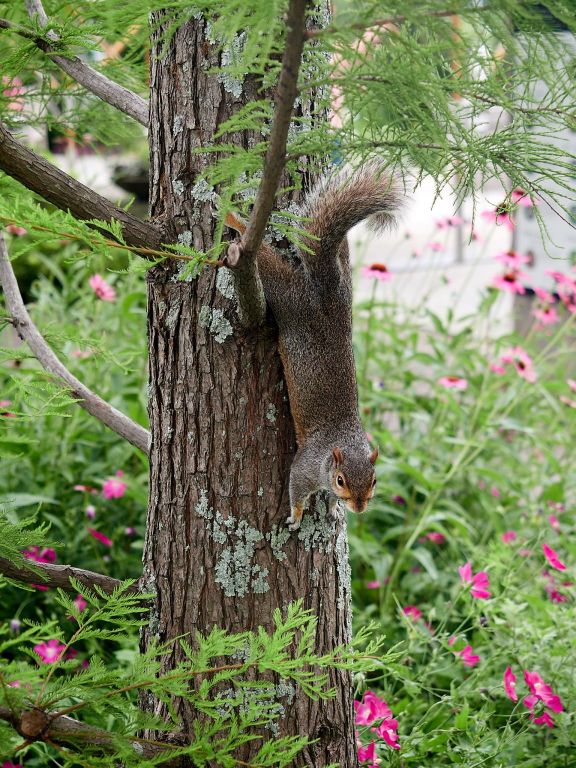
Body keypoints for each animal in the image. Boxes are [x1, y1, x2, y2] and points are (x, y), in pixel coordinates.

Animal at [225, 164, 400, 532]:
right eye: (340, 480)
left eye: (374, 481)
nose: (359, 508)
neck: (341, 443)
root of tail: (328, 295)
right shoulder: (304, 466)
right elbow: (296, 491)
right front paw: (294, 517)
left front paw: (333, 510)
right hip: (291, 299)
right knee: (267, 262)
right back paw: (234, 219)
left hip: (344, 291)